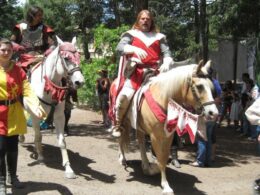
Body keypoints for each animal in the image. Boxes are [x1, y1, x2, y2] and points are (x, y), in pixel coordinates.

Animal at [23, 36, 84, 178]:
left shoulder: (59, 116)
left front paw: (68, 168)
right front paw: (40, 157)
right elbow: (38, 136)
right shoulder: (35, 116)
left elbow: (62, 141)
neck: (48, 86)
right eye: (66, 58)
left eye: (78, 56)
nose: (80, 82)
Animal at [110, 60, 219, 194]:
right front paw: (166, 185)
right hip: (122, 119)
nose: (213, 113)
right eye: (199, 86)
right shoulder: (155, 136)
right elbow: (161, 160)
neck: (163, 99)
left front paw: (154, 170)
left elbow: (164, 158)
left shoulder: (168, 135)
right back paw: (122, 159)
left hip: (139, 126)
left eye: (212, 87)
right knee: (120, 137)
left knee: (140, 142)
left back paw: (145, 165)